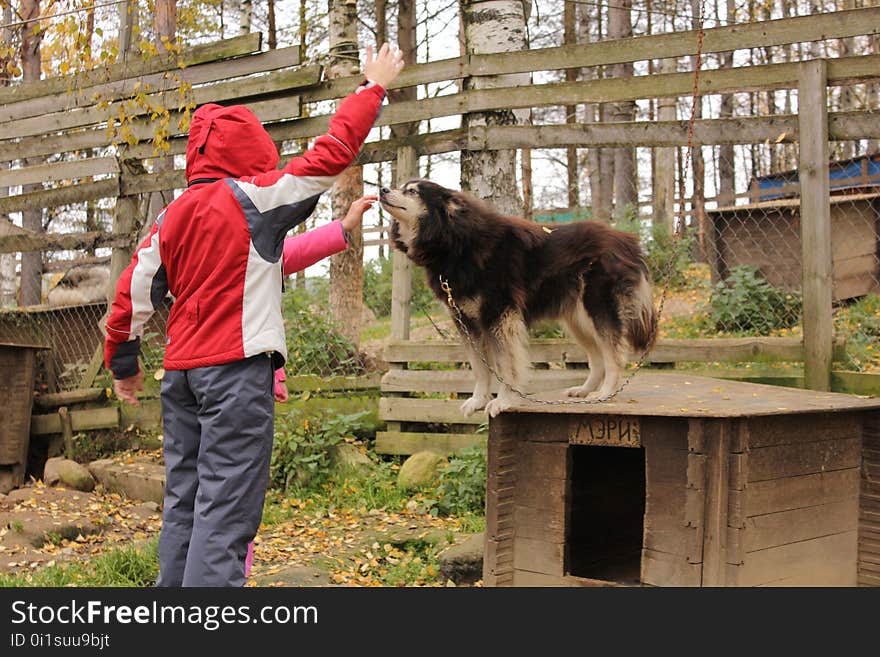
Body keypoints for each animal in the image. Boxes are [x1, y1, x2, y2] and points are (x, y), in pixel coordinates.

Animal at [382, 178, 656, 416]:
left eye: (412, 191)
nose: (383, 190)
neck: (455, 244)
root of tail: (628, 241)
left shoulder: (499, 316)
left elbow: (506, 366)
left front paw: (503, 401)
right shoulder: (467, 322)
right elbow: (480, 368)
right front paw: (478, 400)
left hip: (599, 310)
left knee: (614, 356)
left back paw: (605, 394)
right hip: (579, 320)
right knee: (598, 358)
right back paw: (585, 390)